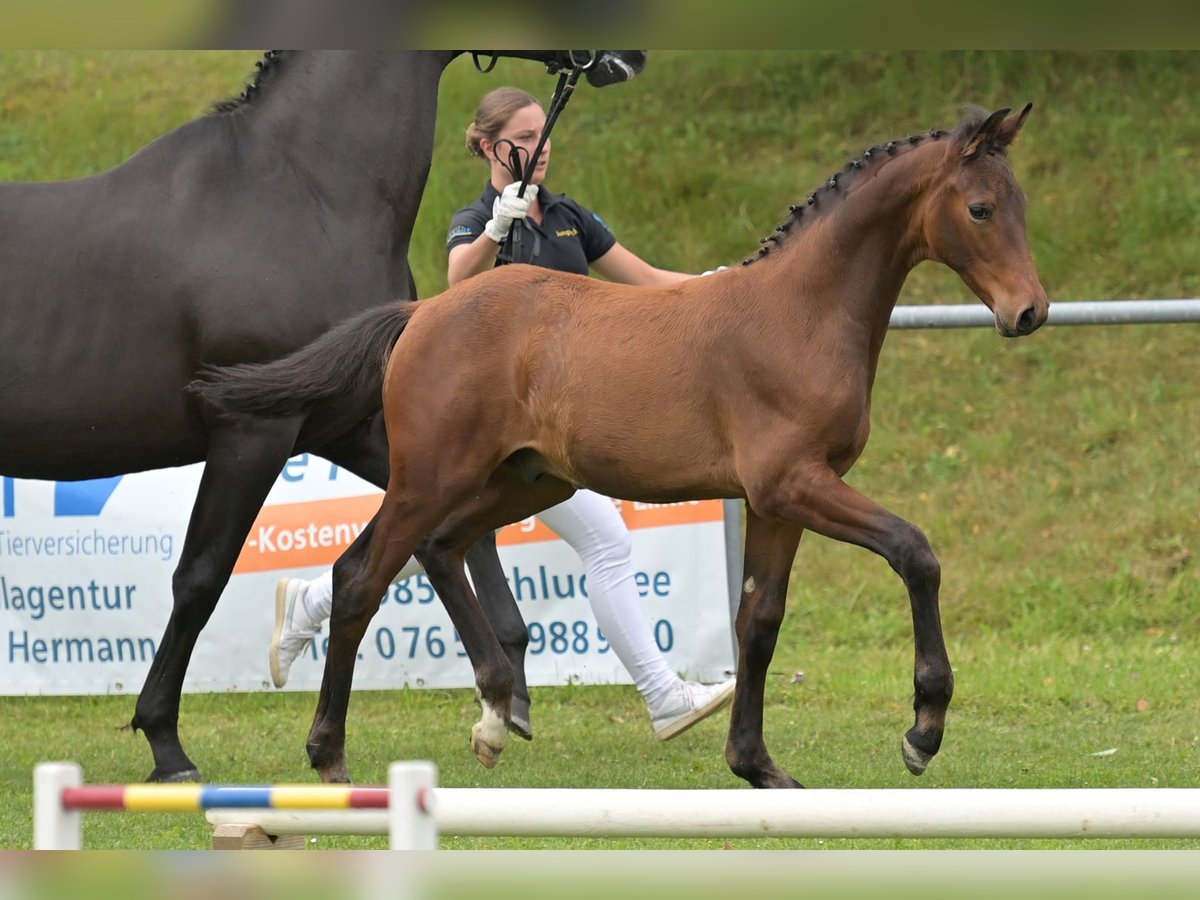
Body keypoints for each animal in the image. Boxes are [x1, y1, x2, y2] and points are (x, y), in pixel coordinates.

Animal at [0, 51, 648, 782]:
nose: (632, 59)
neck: (303, 193)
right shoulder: (254, 432)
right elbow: (199, 579)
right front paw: (166, 743)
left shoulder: (346, 424)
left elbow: (449, 537)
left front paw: (504, 700)